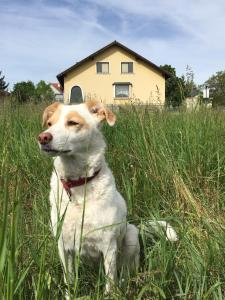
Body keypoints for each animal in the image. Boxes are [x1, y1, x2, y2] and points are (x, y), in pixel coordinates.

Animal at [37, 102, 178, 294]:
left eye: (72, 122)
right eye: (50, 123)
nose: (42, 137)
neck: (79, 185)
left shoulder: (109, 246)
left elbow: (110, 283)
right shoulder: (62, 246)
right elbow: (69, 282)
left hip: (131, 236)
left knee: (125, 273)